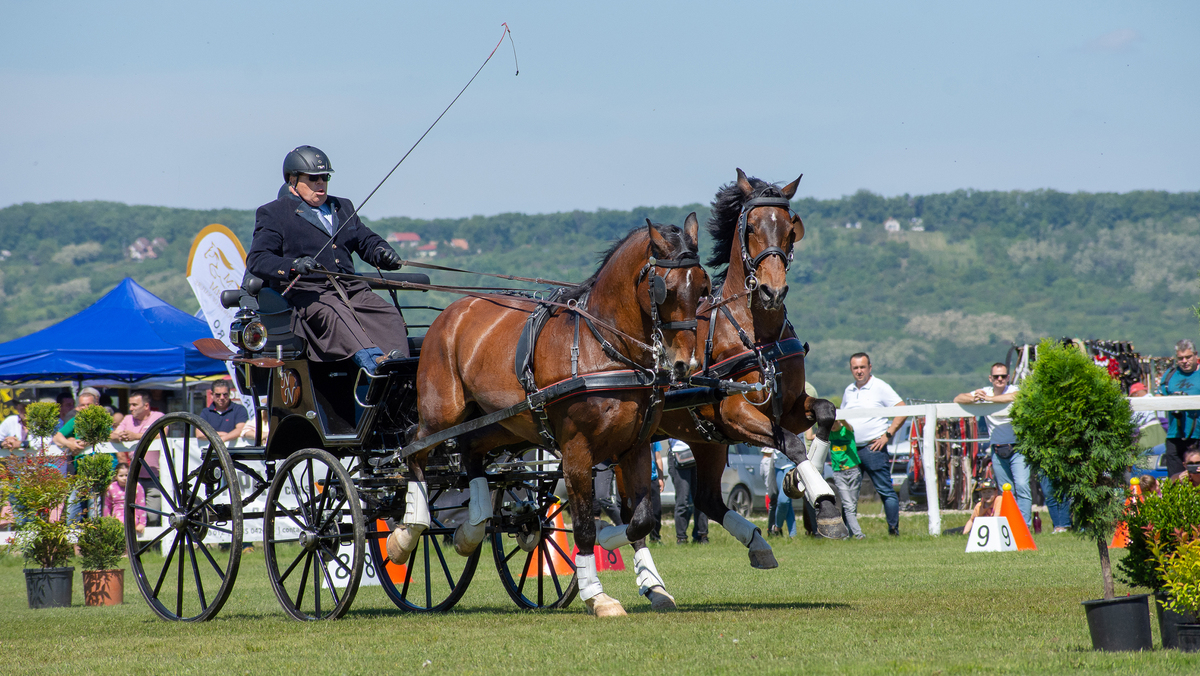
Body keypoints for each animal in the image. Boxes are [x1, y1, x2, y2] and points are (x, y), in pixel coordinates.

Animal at [387, 216, 710, 617]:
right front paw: (597, 595)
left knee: (470, 446)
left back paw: (471, 529)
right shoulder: (576, 451)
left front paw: (640, 572)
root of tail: (450, 312)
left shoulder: (635, 447)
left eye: (703, 287)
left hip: (504, 423)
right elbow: (585, 526)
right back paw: (407, 533)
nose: (686, 364)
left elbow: (640, 519)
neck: (602, 347)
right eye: (665, 289)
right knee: (414, 447)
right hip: (442, 411)